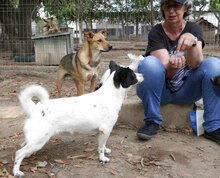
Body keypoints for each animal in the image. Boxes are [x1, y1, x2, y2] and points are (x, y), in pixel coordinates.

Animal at [13, 55, 144, 177]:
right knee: (18, 153)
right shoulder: (105, 130)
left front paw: (105, 150)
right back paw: (16, 171)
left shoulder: (102, 132)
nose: (143, 75)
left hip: (34, 139)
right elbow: (101, 147)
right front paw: (102, 158)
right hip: (39, 140)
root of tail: (34, 109)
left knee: (23, 147)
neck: (110, 94)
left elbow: (103, 144)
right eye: (133, 74)